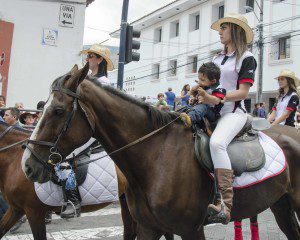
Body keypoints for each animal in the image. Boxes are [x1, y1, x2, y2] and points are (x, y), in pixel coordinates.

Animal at [21, 64, 300, 240]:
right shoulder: (149, 228)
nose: (28, 166)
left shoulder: (191, 230)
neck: (156, 157)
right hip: (281, 204)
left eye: (58, 111)